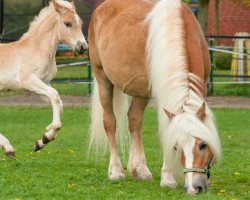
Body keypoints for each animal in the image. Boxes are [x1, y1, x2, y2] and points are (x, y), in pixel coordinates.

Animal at [0, 0, 88, 159]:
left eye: (80, 22)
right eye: (67, 23)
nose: (82, 47)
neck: (37, 49)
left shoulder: (43, 84)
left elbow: (59, 103)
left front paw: (43, 140)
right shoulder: (29, 82)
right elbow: (55, 96)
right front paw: (51, 131)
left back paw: (8, 148)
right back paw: (9, 148)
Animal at [89, 0, 222, 195]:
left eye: (203, 145)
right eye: (176, 146)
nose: (194, 187)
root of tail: (101, 8)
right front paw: (168, 179)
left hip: (141, 91)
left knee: (134, 120)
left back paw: (140, 170)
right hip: (103, 80)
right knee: (110, 123)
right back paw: (116, 171)